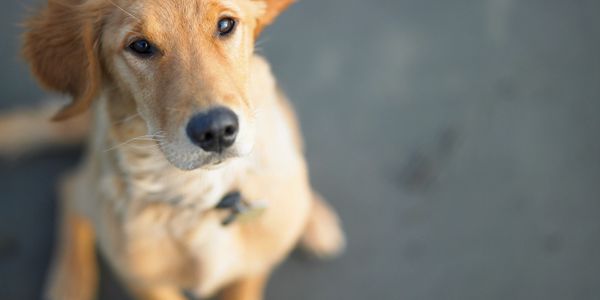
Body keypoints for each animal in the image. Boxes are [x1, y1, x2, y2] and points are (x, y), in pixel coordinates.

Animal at [2, 0, 344, 298]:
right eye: (140, 46)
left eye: (225, 25)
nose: (215, 130)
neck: (202, 194)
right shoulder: (141, 280)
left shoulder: (255, 262)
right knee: (69, 188)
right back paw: (69, 284)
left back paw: (315, 220)